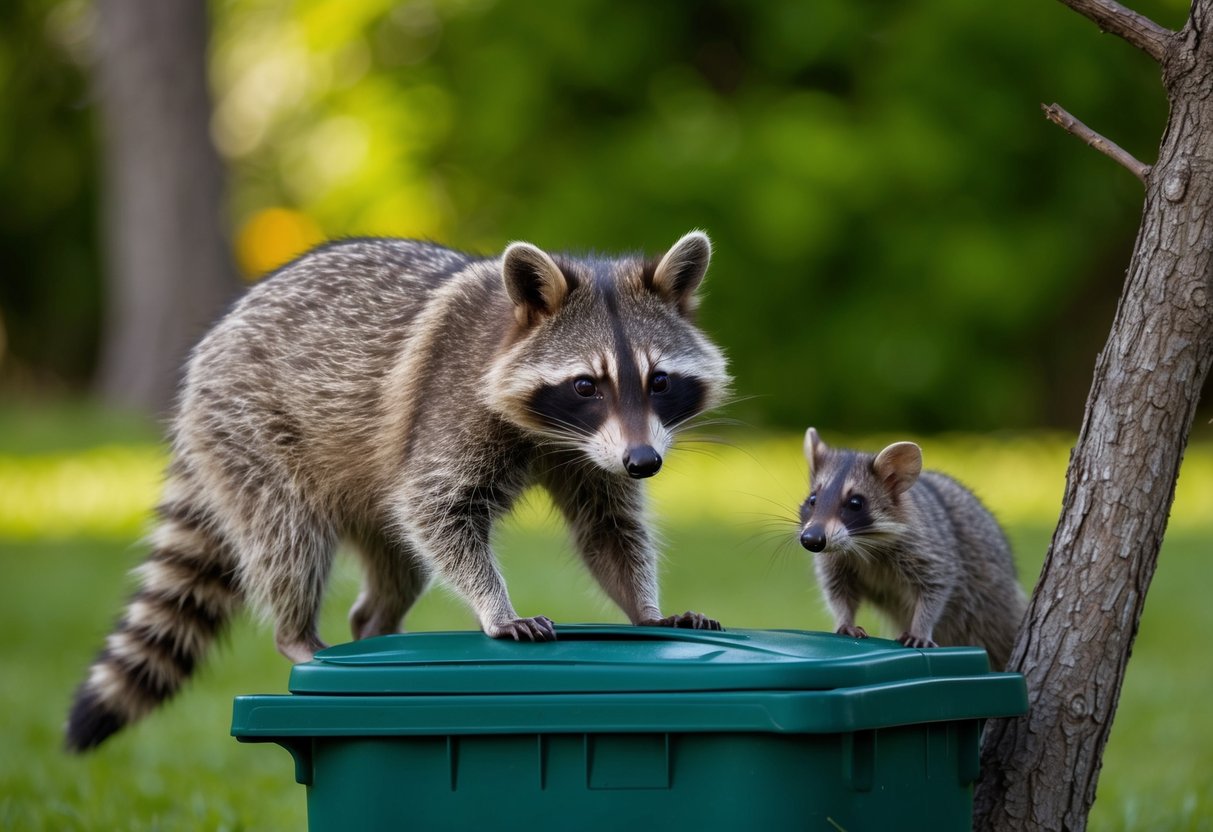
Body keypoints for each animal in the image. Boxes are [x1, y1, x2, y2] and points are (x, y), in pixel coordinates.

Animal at [66, 231, 730, 751]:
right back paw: (298, 637)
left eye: (660, 380)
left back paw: (375, 633)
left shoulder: (597, 453)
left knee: (398, 567)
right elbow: (435, 508)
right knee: (289, 537)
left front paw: (646, 610)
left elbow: (608, 528)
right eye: (587, 384)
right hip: (248, 428)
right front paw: (496, 608)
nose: (644, 463)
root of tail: (212, 344)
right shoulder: (453, 406)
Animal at [798, 428, 1026, 670]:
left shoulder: (928, 546)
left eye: (855, 504)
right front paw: (844, 618)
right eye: (812, 500)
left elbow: (936, 587)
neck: (863, 545)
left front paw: (921, 626)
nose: (811, 540)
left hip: (995, 604)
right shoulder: (835, 561)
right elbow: (838, 591)